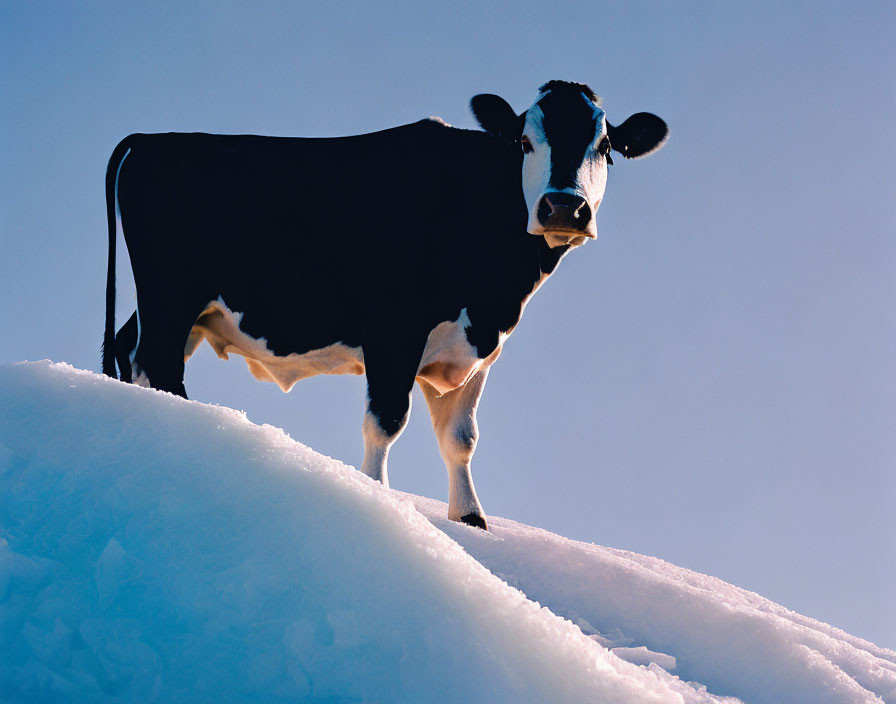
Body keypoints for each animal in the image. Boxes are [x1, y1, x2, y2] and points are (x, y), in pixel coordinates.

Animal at [103, 80, 664, 528]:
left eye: (606, 147)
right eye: (524, 142)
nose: (564, 206)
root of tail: (152, 140)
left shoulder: (478, 348)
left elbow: (461, 438)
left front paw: (470, 519)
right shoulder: (394, 331)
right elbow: (386, 422)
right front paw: (378, 500)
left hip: (183, 310)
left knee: (132, 354)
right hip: (169, 294)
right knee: (159, 366)